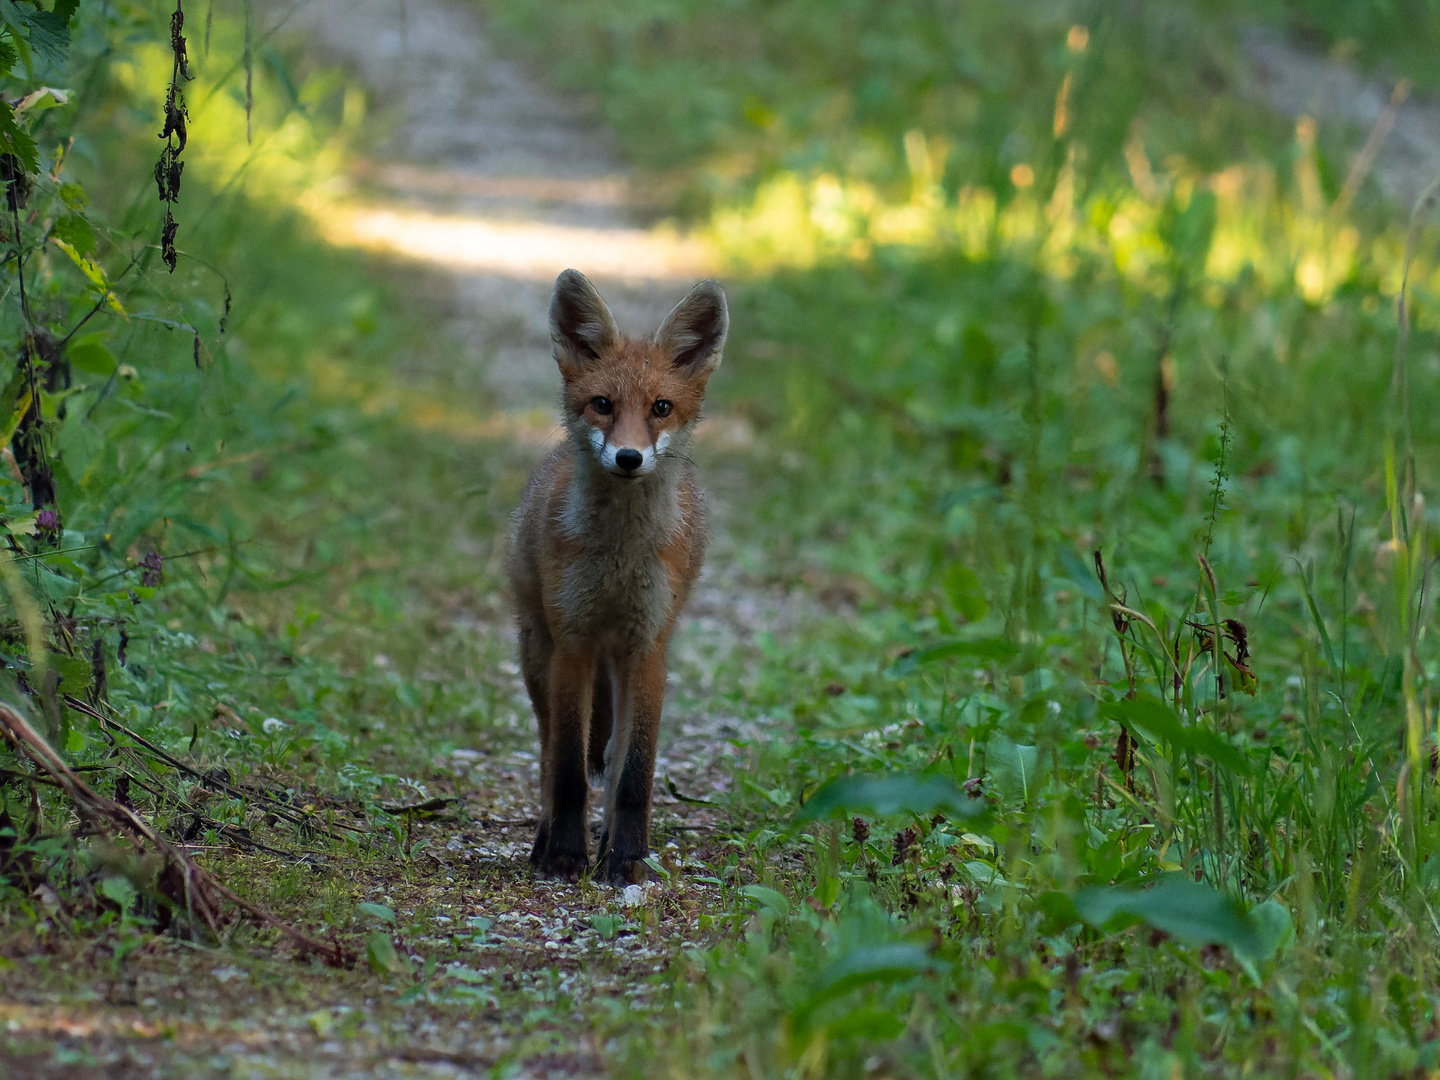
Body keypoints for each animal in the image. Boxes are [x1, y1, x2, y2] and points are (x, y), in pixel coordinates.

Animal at [509, 270, 731, 887]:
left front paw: (626, 859)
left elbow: (633, 774)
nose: (629, 457)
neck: (619, 559)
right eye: (603, 405)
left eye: (661, 407)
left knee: (607, 758)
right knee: (548, 754)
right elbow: (566, 770)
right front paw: (565, 855)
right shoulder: (573, 643)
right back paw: (545, 839)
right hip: (537, 652)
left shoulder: (647, 645)